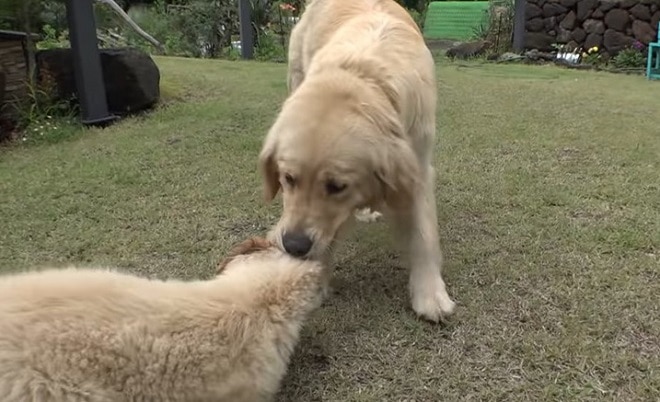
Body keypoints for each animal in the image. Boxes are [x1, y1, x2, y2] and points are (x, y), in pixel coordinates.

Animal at [260, 0, 456, 322]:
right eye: (288, 179)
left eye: (337, 186)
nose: (294, 245)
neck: (361, 76)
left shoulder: (418, 163)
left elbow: (424, 234)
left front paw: (430, 293)